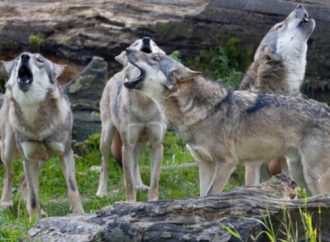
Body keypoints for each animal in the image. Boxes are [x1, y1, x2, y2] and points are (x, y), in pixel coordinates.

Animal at [0, 52, 84, 218]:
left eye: (39, 60)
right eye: (18, 59)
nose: (24, 56)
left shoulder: (66, 153)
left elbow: (72, 189)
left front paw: (79, 214)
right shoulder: (28, 159)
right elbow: (34, 197)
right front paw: (33, 220)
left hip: (41, 160)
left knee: (22, 181)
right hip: (8, 150)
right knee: (9, 174)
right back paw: (6, 203)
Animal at [96, 36, 166, 201]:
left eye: (154, 44)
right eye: (135, 43)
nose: (146, 39)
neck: (145, 104)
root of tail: (117, 73)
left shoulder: (157, 145)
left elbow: (154, 182)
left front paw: (153, 201)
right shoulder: (126, 146)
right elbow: (128, 182)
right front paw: (131, 203)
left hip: (142, 143)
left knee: (135, 163)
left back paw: (140, 185)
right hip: (107, 138)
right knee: (104, 164)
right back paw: (101, 192)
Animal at [122, 49, 330, 197]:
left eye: (155, 57)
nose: (127, 49)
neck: (199, 112)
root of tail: (326, 108)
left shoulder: (227, 162)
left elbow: (211, 194)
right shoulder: (205, 164)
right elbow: (202, 195)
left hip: (312, 176)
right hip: (299, 174)